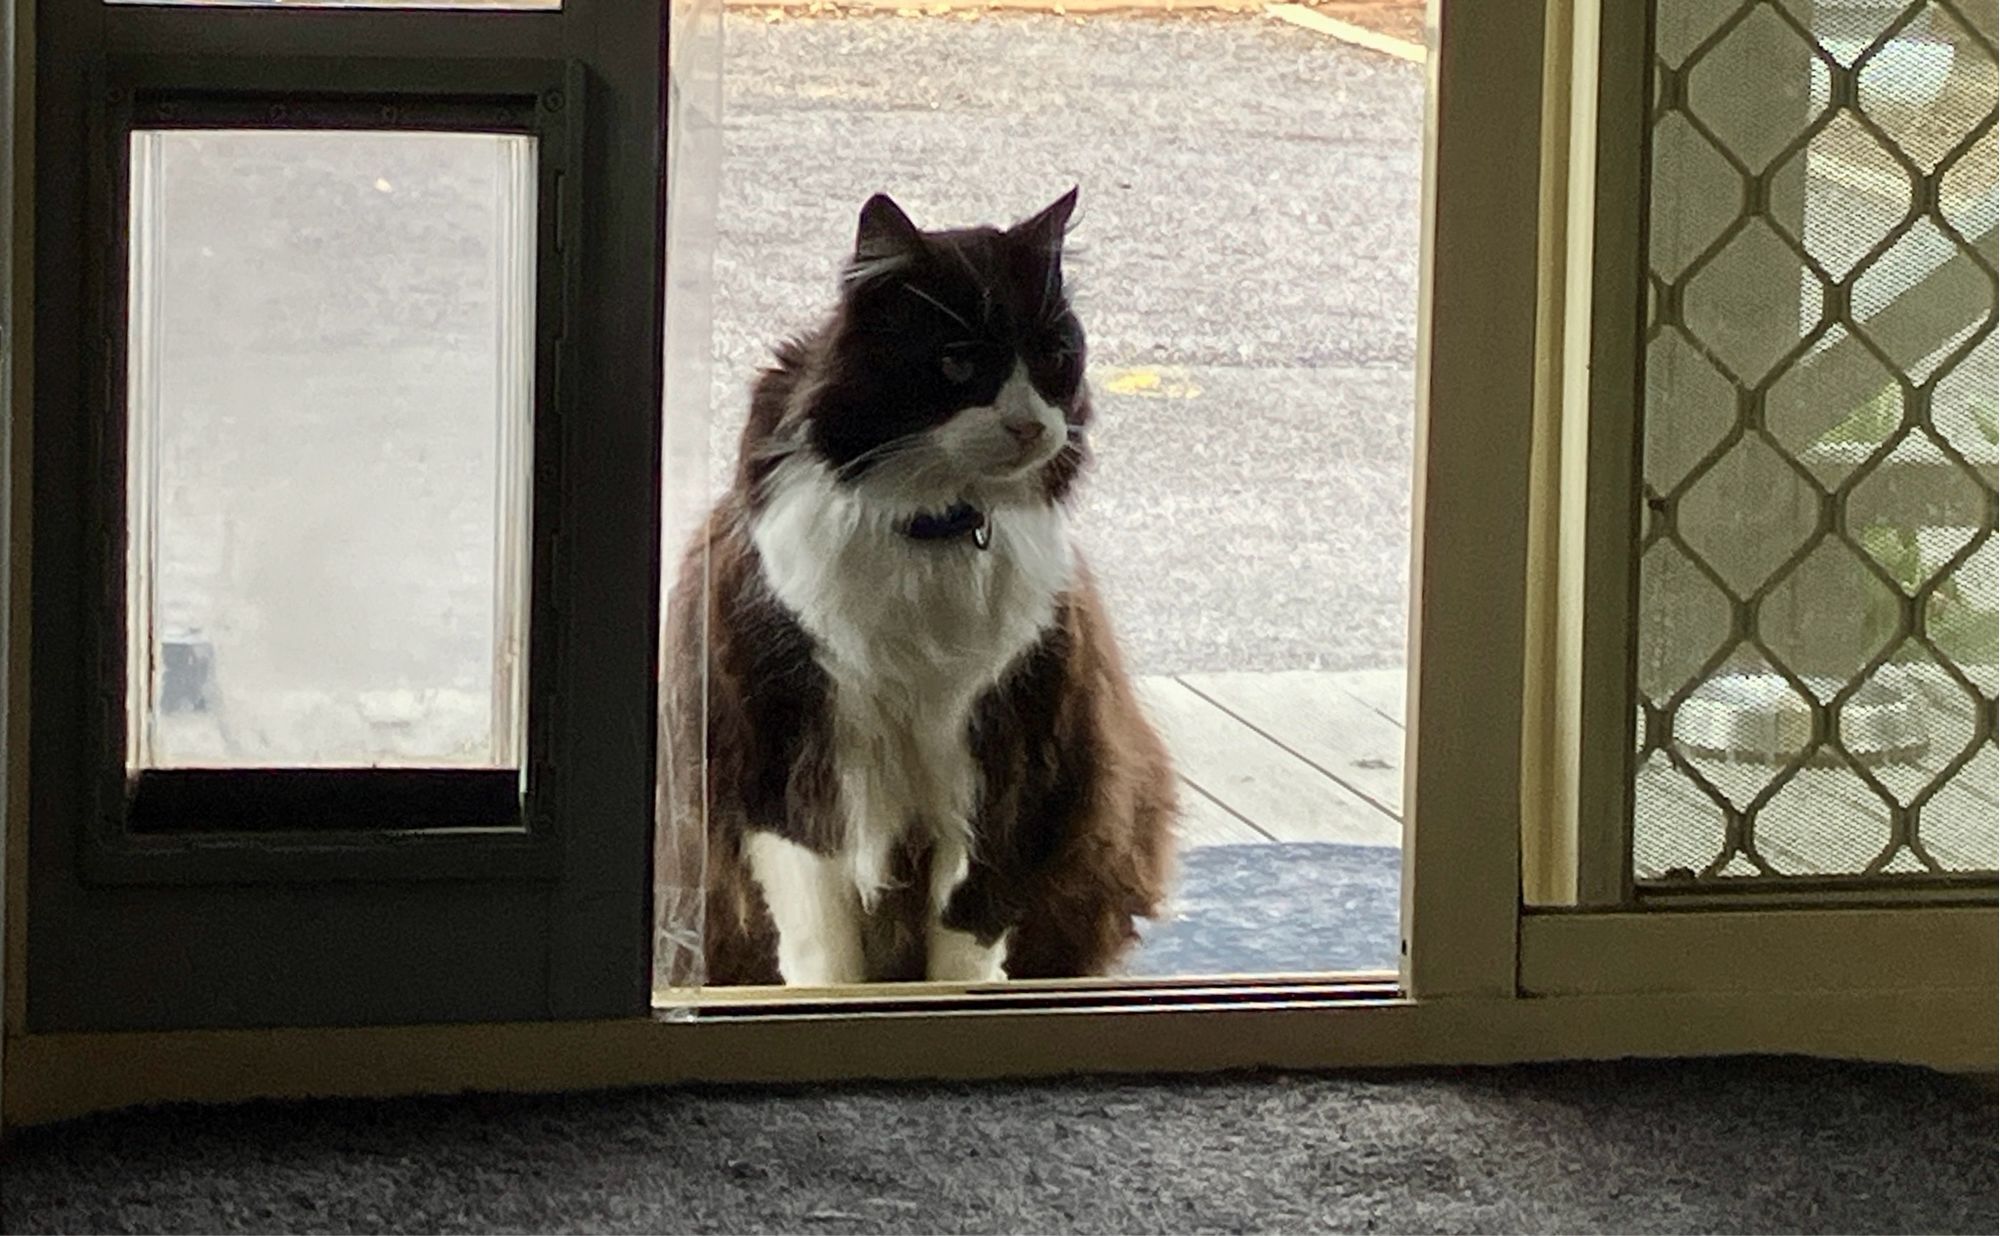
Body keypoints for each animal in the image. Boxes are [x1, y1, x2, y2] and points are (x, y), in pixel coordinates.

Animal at [664, 190, 1176, 980]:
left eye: (1056, 355)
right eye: (958, 362)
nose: (1032, 427)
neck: (935, 533)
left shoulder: (1006, 760)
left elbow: (967, 935)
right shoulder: (784, 760)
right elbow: (823, 947)